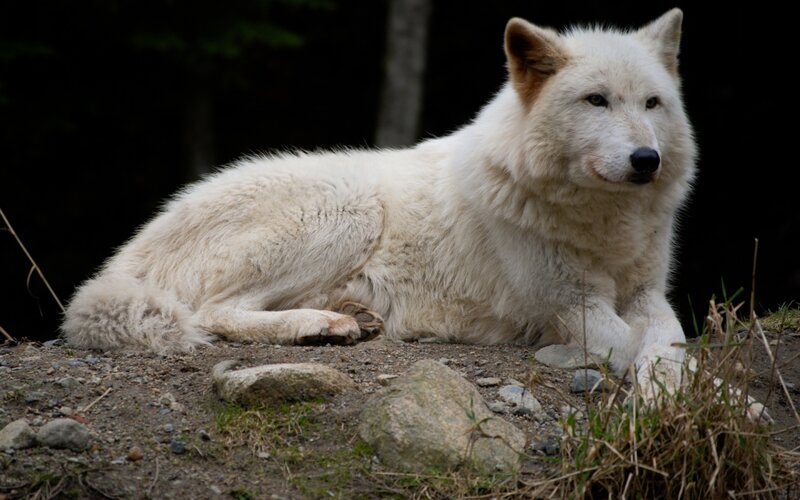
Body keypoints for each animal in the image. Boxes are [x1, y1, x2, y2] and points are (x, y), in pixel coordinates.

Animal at [63, 9, 695, 392]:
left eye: (652, 103)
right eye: (596, 101)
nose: (646, 160)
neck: (603, 220)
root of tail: (134, 248)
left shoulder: (646, 294)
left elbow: (670, 340)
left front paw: (677, 388)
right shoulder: (571, 308)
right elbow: (638, 343)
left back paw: (348, 317)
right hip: (350, 208)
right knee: (210, 312)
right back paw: (321, 325)